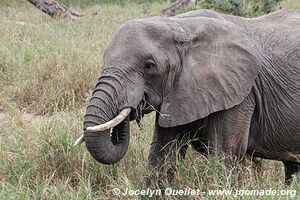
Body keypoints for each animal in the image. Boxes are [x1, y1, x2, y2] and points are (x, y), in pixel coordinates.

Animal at [75, 9, 300, 184]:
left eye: (149, 66)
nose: (132, 108)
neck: (179, 26)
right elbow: (162, 156)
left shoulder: (241, 94)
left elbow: (225, 156)